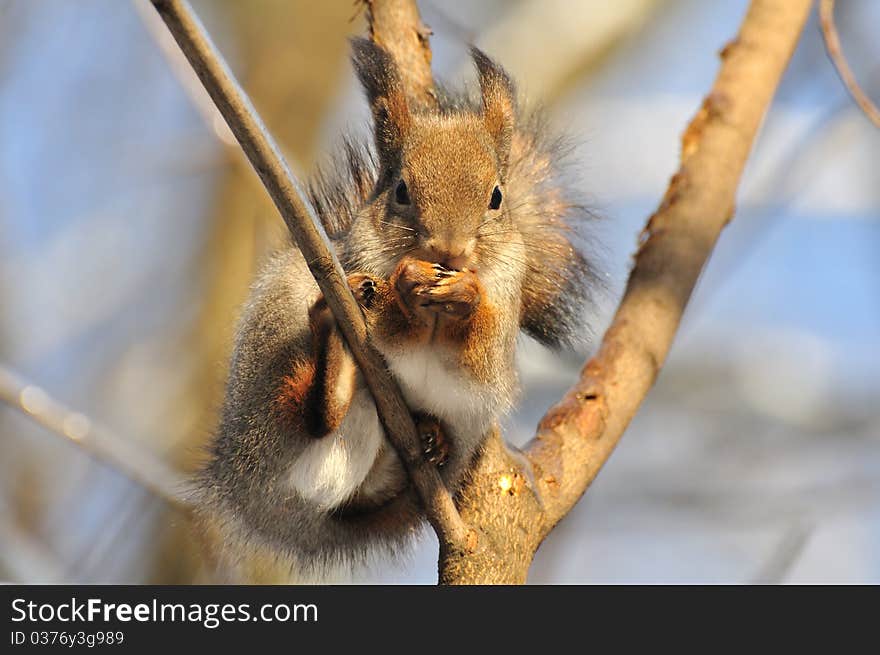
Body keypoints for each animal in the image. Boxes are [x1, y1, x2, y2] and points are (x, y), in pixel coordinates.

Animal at [198, 39, 600, 576]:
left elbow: (474, 354)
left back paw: (428, 437)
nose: (450, 251)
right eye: (401, 191)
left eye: (497, 196)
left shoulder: (498, 336)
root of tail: (260, 505)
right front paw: (406, 288)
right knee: (308, 415)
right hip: (272, 359)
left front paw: (465, 295)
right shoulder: (358, 266)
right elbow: (388, 322)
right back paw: (336, 366)